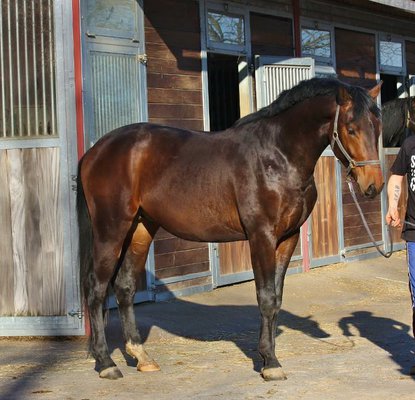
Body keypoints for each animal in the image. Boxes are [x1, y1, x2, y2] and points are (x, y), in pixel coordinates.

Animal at [77, 76, 384, 380]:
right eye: (351, 129)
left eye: (377, 128)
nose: (374, 185)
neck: (277, 156)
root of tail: (96, 150)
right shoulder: (261, 235)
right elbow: (266, 297)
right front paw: (271, 364)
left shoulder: (288, 237)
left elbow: (277, 298)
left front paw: (268, 356)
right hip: (111, 230)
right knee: (96, 288)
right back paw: (106, 363)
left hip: (141, 227)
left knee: (125, 286)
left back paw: (141, 356)